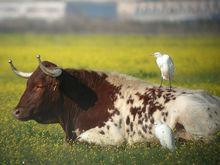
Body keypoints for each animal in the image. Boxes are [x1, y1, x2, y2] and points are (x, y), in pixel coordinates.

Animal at [8, 55, 220, 146]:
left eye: (39, 86)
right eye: (28, 83)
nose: (16, 111)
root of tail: (211, 98)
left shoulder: (112, 135)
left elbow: (81, 139)